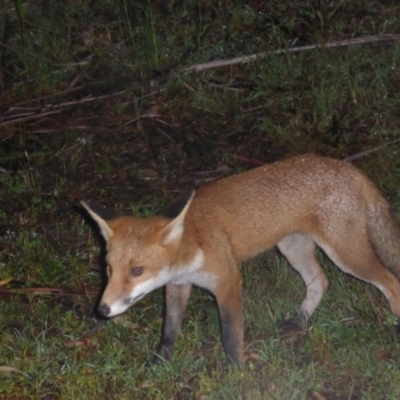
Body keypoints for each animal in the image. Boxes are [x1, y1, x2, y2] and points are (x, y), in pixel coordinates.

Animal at [79, 154, 400, 366]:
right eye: (108, 268)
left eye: (137, 270)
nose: (102, 310)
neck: (193, 247)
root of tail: (346, 166)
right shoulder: (178, 287)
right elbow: (169, 332)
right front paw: (160, 364)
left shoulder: (228, 282)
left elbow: (231, 336)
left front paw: (235, 374)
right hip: (291, 248)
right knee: (321, 281)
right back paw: (300, 320)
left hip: (347, 257)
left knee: (390, 281)